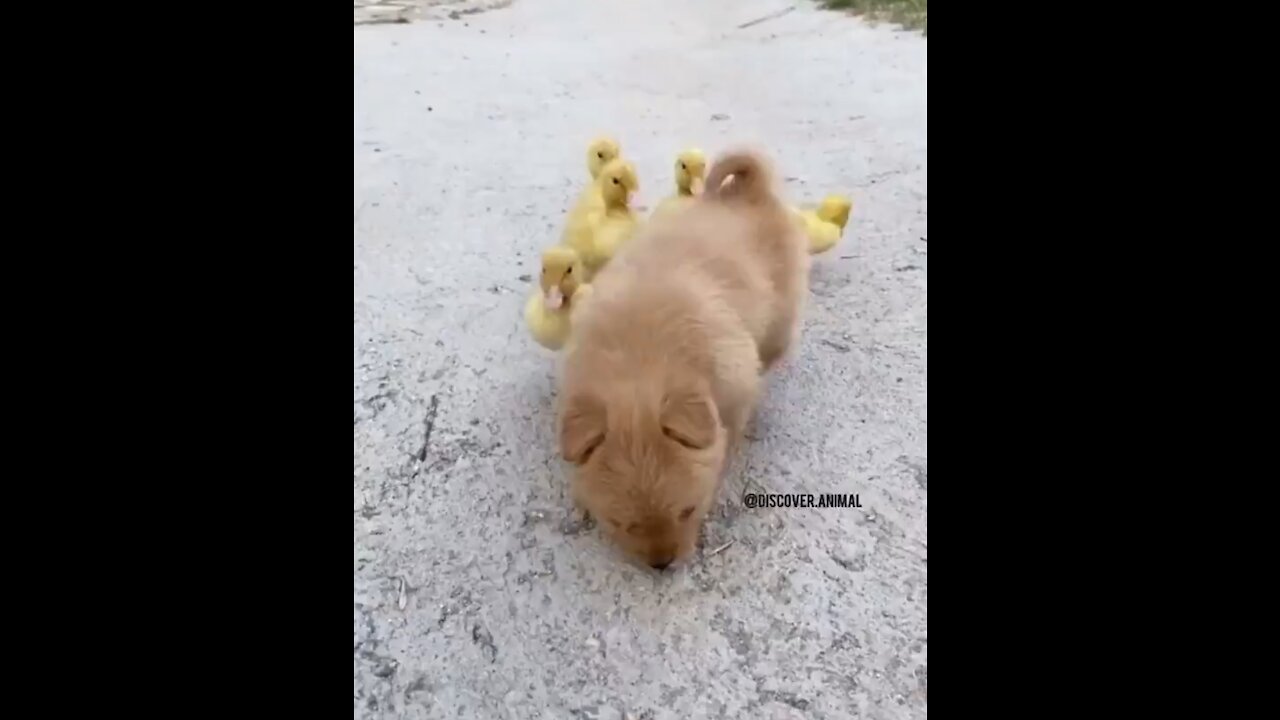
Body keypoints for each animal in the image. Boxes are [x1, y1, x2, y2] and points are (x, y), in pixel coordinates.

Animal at [552, 149, 808, 566]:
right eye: (621, 523)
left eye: (688, 511)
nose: (661, 565)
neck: (638, 356)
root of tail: (747, 191)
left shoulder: (735, 385)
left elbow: (729, 433)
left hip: (780, 317)